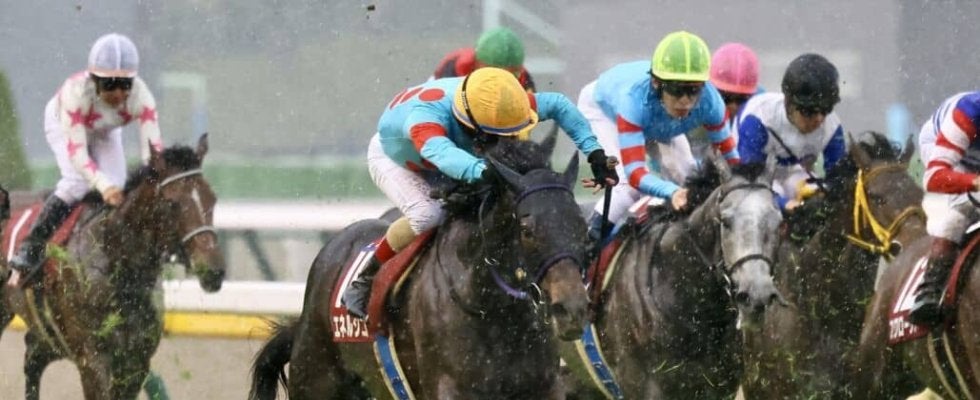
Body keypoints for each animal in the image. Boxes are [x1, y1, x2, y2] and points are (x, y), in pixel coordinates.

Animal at [0, 134, 226, 400]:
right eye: (173, 203)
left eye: (212, 198)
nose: (213, 270)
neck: (116, 260)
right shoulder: (93, 360)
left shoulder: (136, 362)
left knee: (33, 358)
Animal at [249, 137, 591, 399]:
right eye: (527, 230)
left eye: (581, 224)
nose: (572, 308)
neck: (492, 309)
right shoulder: (449, 387)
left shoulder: (543, 386)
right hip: (316, 378)